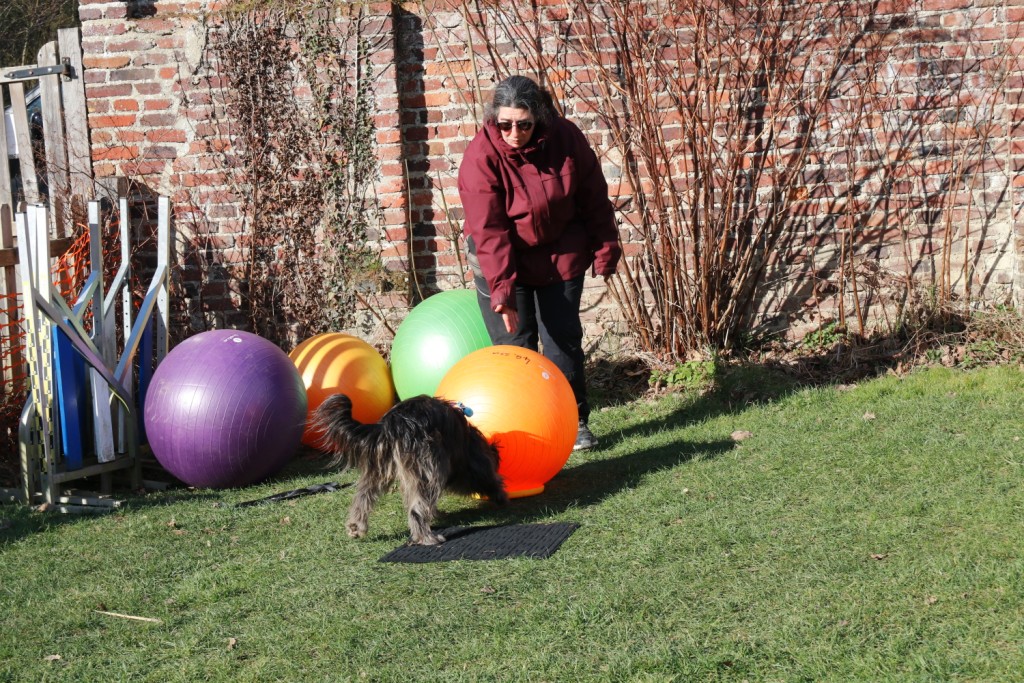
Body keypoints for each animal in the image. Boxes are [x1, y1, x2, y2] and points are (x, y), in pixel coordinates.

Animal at [312, 393, 509, 545]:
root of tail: (390, 424)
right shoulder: (474, 464)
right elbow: (489, 478)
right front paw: (501, 496)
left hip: (381, 467)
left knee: (363, 496)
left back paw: (355, 527)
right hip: (427, 466)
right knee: (417, 509)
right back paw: (426, 537)